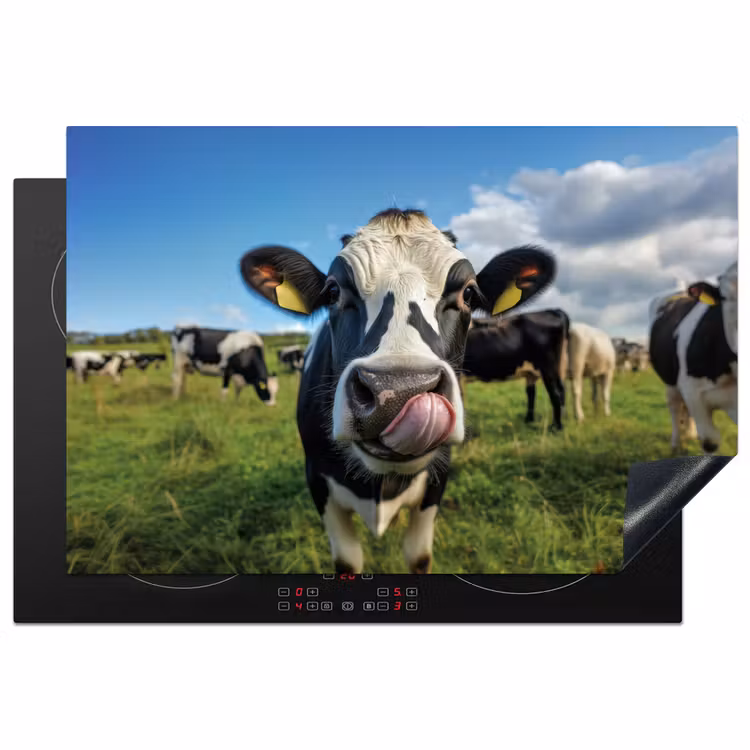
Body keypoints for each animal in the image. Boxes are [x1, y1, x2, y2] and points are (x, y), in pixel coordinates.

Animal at [239, 208, 555, 573]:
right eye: (332, 292)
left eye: (469, 294)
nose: (397, 393)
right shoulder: (317, 481)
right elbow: (347, 561)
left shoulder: (437, 480)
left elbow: (418, 557)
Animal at [648, 261, 737, 453]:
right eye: (725, 297)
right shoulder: (694, 392)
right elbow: (710, 442)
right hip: (670, 379)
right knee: (674, 406)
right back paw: (676, 442)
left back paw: (690, 434)